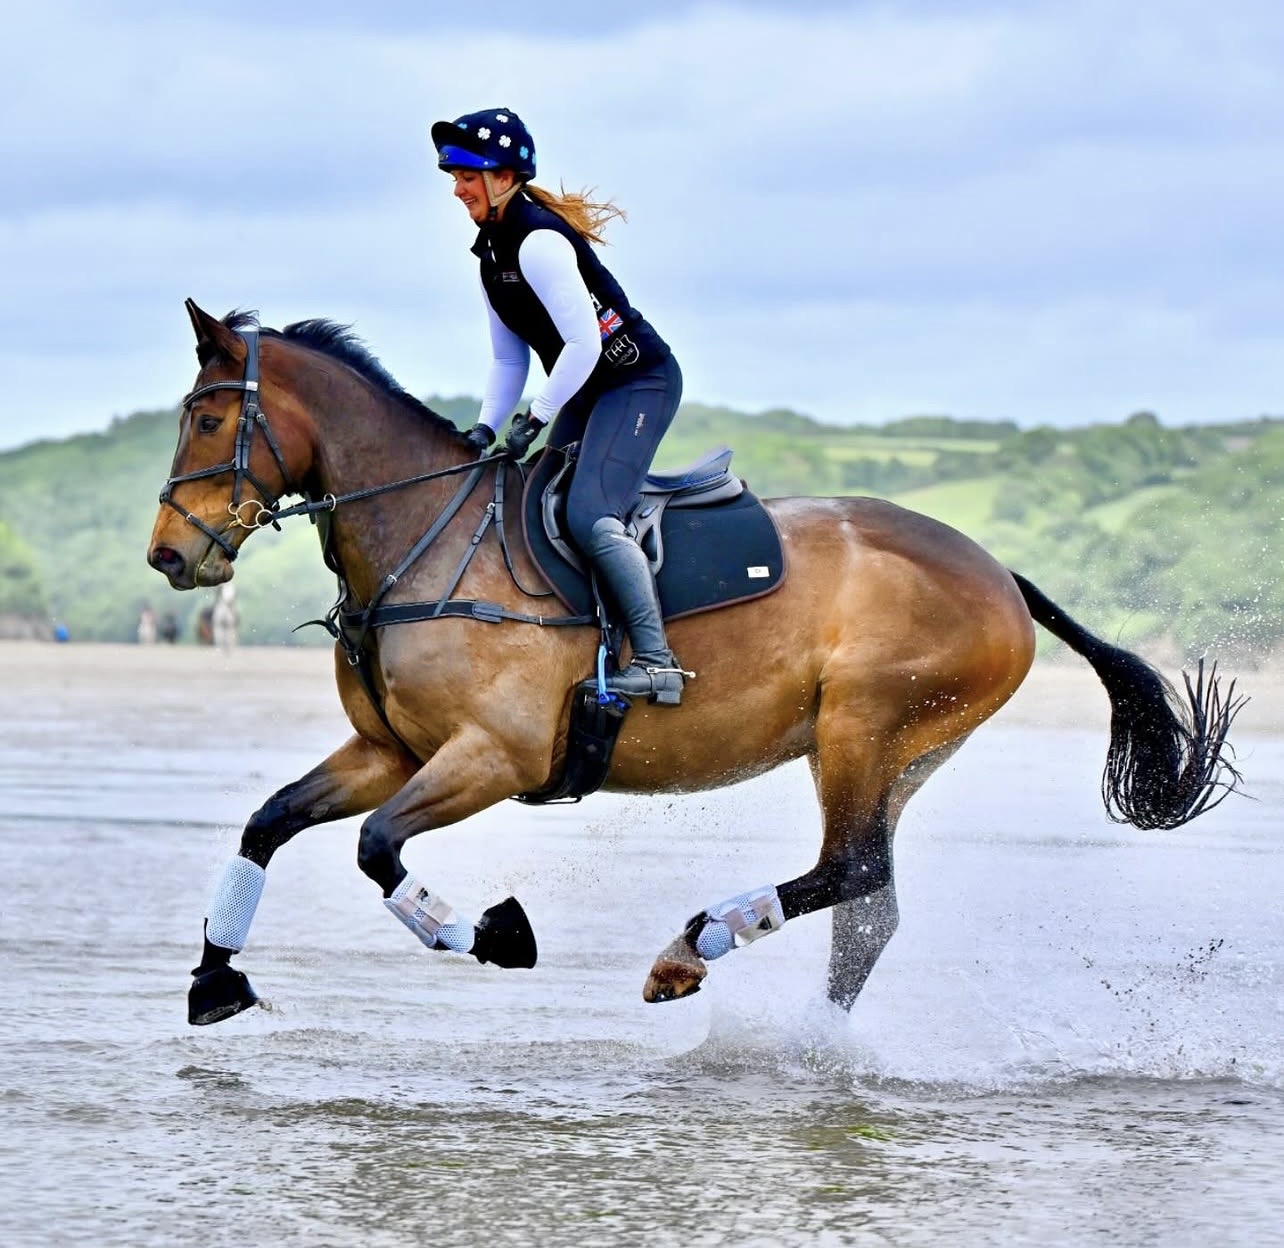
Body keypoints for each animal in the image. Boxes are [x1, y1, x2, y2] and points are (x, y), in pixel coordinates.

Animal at [147, 300, 1244, 1026]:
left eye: (207, 419)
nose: (169, 556)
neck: (427, 530)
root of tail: (998, 575)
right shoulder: (390, 750)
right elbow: (269, 822)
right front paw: (215, 978)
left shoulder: (494, 756)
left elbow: (378, 849)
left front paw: (500, 935)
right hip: (895, 755)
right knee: (869, 909)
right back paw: (814, 1046)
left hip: (863, 728)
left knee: (851, 870)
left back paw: (694, 947)